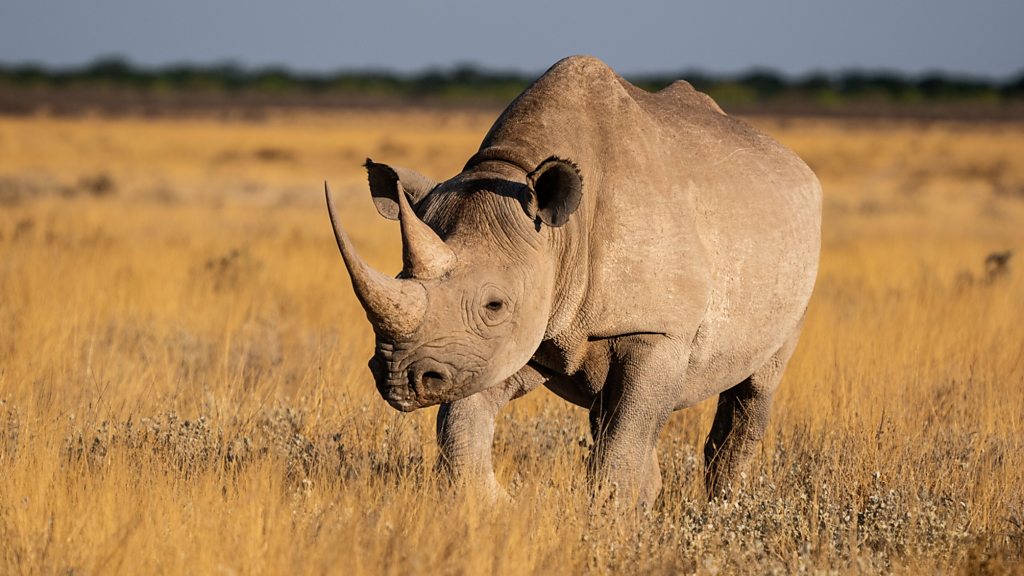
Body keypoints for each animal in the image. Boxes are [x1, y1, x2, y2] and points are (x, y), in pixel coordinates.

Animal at [325, 56, 820, 505]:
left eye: (494, 305)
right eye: (398, 275)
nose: (399, 379)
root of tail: (797, 164)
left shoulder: (656, 328)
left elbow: (626, 435)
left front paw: (608, 520)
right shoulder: (512, 333)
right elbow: (463, 418)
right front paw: (494, 505)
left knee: (752, 389)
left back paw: (724, 507)